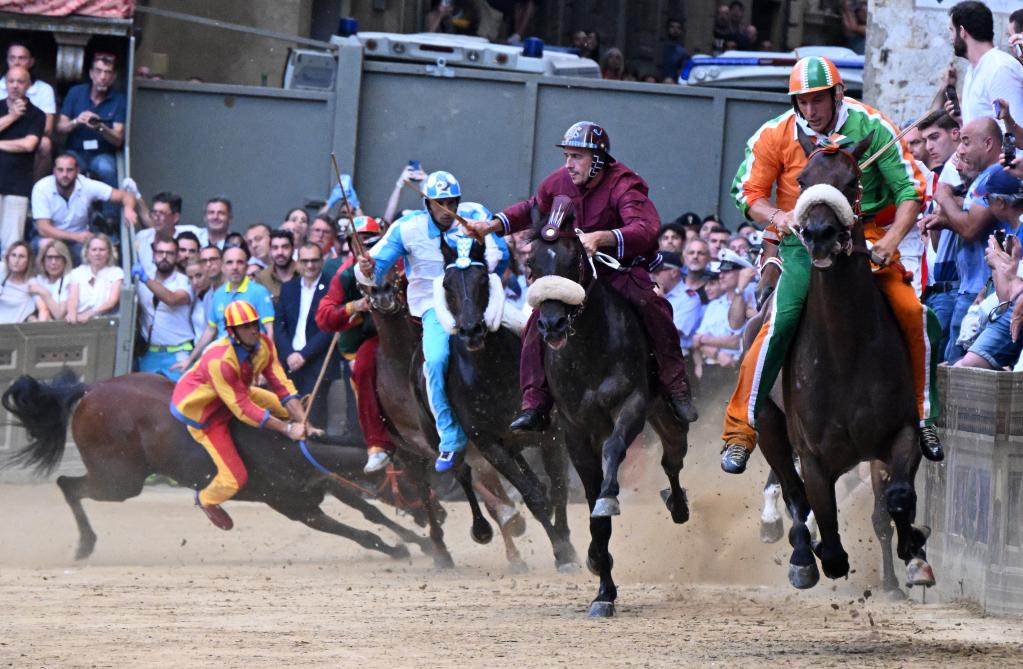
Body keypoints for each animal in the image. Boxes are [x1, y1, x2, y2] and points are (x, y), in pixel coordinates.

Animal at [0, 370, 433, 564]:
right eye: (413, 480)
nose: (438, 514)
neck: (288, 448)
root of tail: (90, 389)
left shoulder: (324, 482)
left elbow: (371, 512)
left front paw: (420, 541)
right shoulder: (295, 507)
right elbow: (360, 532)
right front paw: (398, 549)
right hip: (118, 479)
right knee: (67, 484)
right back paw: (85, 544)